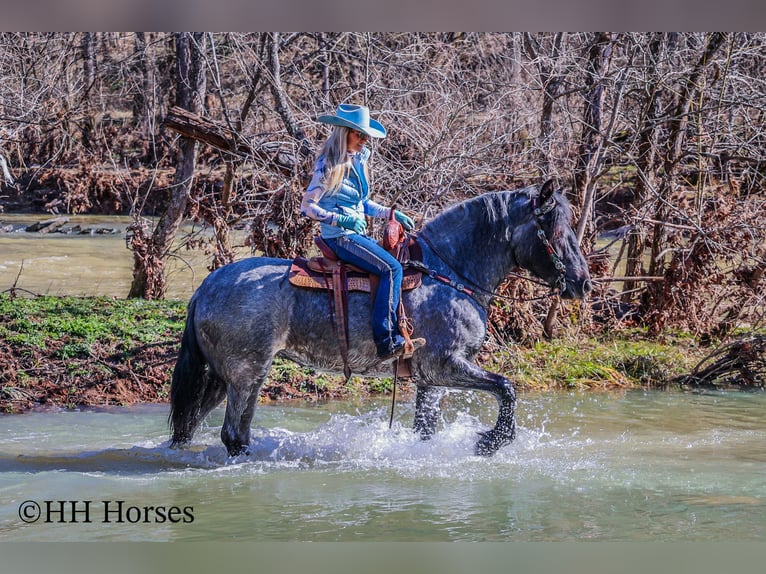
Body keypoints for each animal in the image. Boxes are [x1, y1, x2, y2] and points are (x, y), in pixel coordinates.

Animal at [168, 180, 592, 457]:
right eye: (554, 228)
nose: (582, 283)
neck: (448, 273)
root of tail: (205, 288)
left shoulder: (430, 380)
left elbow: (426, 430)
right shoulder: (445, 365)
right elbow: (507, 388)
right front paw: (490, 441)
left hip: (220, 378)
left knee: (190, 429)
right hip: (247, 374)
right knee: (233, 435)